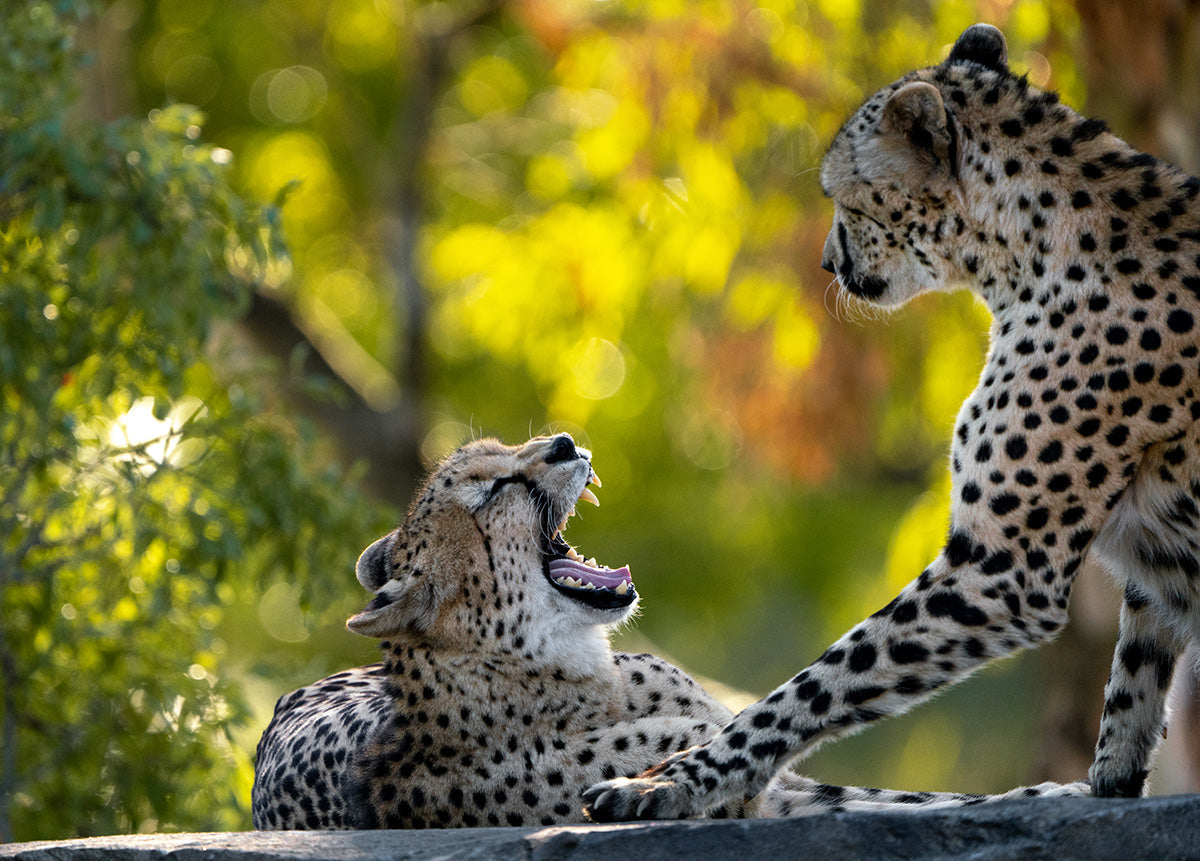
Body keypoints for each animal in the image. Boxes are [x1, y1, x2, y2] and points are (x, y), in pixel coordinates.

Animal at [253, 434, 1080, 834]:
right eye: (490, 491)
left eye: (503, 452)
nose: (564, 441)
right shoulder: (750, 801)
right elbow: (906, 806)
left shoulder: (761, 774)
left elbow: (912, 798)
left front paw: (1056, 788)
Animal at [583, 23, 1200, 825]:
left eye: (842, 197)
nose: (826, 263)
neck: (1024, 252)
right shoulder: (1147, 569)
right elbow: (1132, 684)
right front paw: (1098, 789)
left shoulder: (1000, 570)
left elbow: (821, 679)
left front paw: (674, 780)